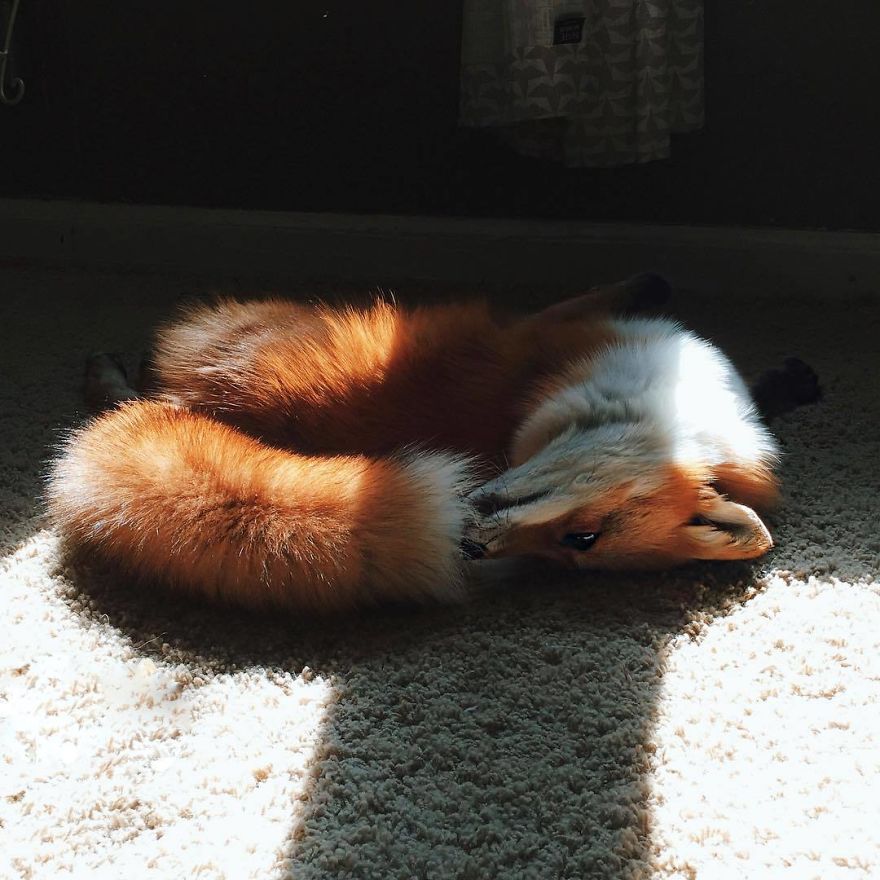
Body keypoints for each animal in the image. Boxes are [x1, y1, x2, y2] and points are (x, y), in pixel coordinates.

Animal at [46, 275, 819, 613]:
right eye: (585, 539)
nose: (471, 548)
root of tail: (206, 410)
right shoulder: (555, 331)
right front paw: (787, 381)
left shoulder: (546, 329)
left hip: (173, 384)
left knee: (128, 398)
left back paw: (109, 377)